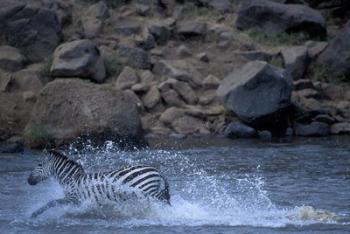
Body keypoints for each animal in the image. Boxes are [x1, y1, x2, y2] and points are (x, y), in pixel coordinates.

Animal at [27, 150, 170, 218]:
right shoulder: (78, 201)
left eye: (39, 164)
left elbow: (52, 202)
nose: (28, 181)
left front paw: (34, 214)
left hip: (146, 189)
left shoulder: (74, 198)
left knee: (163, 199)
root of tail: (156, 170)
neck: (71, 178)